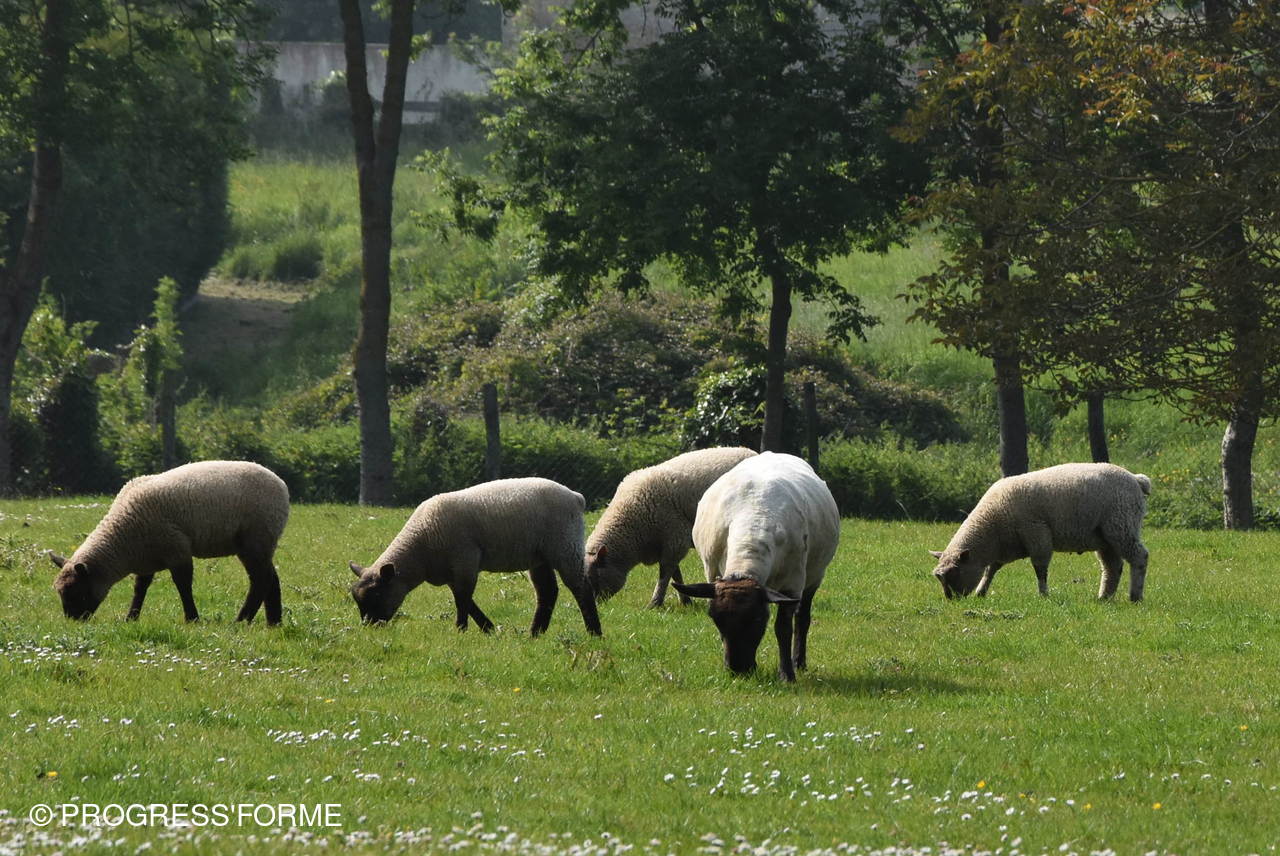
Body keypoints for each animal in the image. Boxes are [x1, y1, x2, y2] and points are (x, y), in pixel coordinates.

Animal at [48, 460, 290, 624]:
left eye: (76, 592)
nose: (73, 621)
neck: (122, 540)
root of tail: (281, 485)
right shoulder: (146, 557)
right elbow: (140, 588)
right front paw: (131, 618)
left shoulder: (177, 550)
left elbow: (183, 585)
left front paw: (192, 618)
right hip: (260, 543)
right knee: (271, 578)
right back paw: (274, 622)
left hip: (255, 539)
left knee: (260, 580)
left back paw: (241, 620)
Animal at [349, 477, 602, 636]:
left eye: (377, 594)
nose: (369, 626)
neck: (419, 549)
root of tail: (576, 497)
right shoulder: (452, 571)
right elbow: (466, 599)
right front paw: (487, 628)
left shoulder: (465, 560)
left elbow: (462, 599)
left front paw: (461, 629)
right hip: (539, 556)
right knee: (547, 592)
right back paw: (534, 634)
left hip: (565, 546)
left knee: (581, 588)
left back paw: (594, 633)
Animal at [586, 447, 757, 607]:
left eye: (594, 577)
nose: (594, 604)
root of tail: (752, 452)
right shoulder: (667, 545)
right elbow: (676, 574)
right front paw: (686, 601)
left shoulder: (675, 539)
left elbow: (665, 574)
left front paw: (655, 603)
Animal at [673, 452, 840, 682]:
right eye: (715, 619)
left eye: (757, 619)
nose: (738, 670)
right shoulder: (712, 574)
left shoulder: (793, 583)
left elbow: (783, 629)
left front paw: (787, 674)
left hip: (814, 576)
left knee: (802, 618)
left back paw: (799, 662)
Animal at [929, 462, 1151, 602]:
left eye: (954, 572)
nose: (951, 601)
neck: (991, 525)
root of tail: (1136, 479)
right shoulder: (1005, 546)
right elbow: (991, 570)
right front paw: (981, 591)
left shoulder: (1037, 534)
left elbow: (1040, 569)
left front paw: (1043, 595)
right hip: (1105, 537)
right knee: (1112, 567)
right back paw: (1104, 597)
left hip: (1122, 526)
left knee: (1139, 557)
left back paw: (1135, 597)